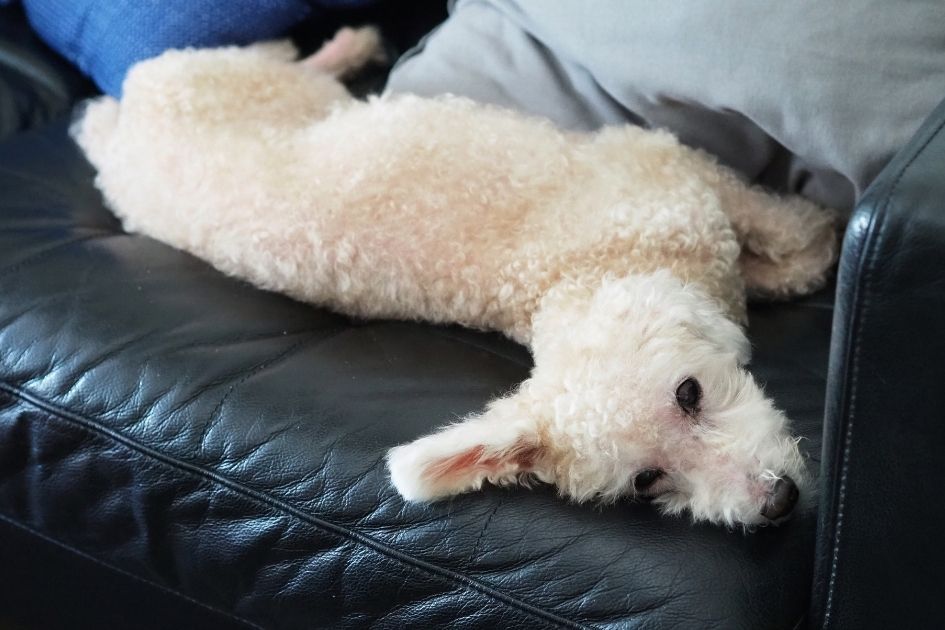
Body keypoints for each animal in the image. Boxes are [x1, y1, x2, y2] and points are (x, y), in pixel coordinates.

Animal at [74, 30, 832, 532]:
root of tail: (124, 130)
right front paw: (815, 248)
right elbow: (785, 251)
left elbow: (773, 229)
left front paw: (807, 240)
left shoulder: (687, 173)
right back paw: (343, 46)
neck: (574, 276)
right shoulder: (682, 185)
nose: (777, 501)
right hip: (241, 86)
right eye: (647, 481)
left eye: (689, 393)